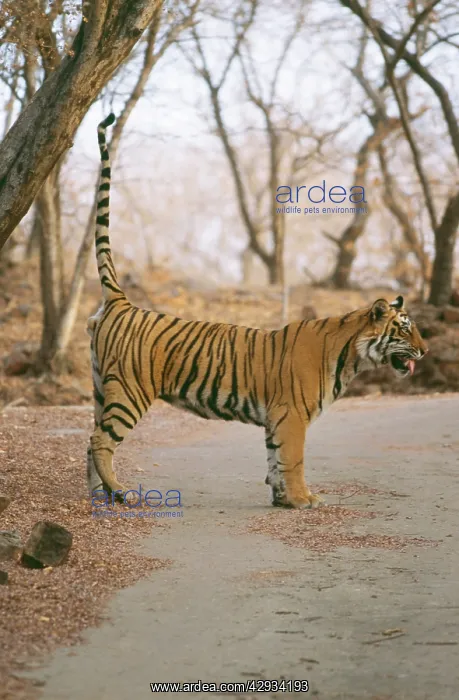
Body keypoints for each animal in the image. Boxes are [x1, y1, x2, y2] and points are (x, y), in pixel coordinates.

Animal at [86, 113, 428, 509]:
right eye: (404, 329)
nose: (426, 350)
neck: (351, 358)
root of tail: (122, 302)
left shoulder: (276, 418)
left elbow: (274, 458)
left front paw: (282, 499)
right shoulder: (292, 415)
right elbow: (293, 459)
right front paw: (303, 499)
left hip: (101, 388)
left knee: (90, 441)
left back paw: (97, 496)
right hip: (130, 390)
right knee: (100, 441)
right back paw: (120, 492)